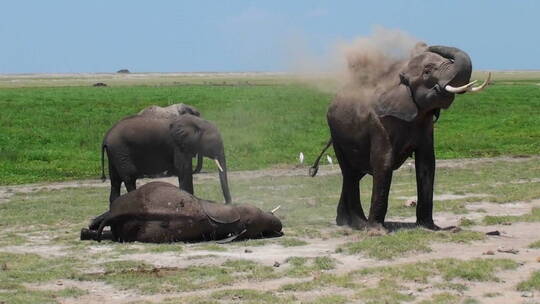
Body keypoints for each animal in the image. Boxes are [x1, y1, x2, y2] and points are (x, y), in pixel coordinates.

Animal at [101, 113, 232, 205]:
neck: (197, 123)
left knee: (115, 180)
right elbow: (183, 169)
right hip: (121, 150)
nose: (227, 203)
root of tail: (106, 136)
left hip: (114, 154)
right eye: (211, 142)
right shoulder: (177, 145)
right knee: (130, 176)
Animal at [318, 43, 492, 233]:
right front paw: (377, 233)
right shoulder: (379, 123)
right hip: (337, 134)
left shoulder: (425, 124)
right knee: (350, 174)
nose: (424, 45)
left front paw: (430, 228)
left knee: (354, 174)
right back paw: (359, 224)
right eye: (427, 71)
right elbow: (383, 162)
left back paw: (344, 222)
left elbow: (427, 163)